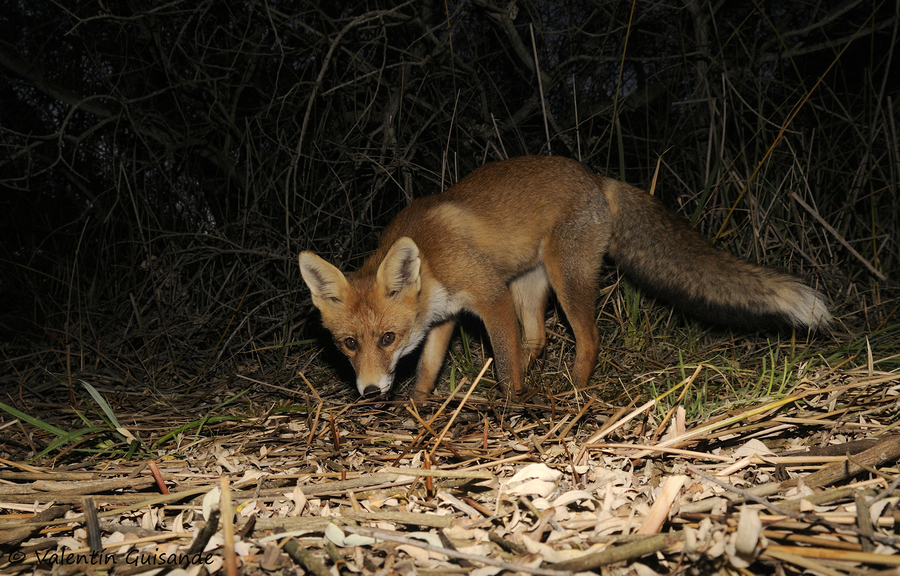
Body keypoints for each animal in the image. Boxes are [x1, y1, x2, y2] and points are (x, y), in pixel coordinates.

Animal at [298, 156, 832, 400]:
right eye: (349, 344)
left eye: (387, 338)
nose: (369, 391)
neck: (430, 261)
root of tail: (597, 178)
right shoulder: (443, 317)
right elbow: (428, 368)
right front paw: (419, 407)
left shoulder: (489, 296)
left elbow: (502, 359)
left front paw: (511, 403)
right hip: (531, 285)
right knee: (537, 338)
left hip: (563, 277)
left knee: (586, 338)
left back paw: (573, 389)